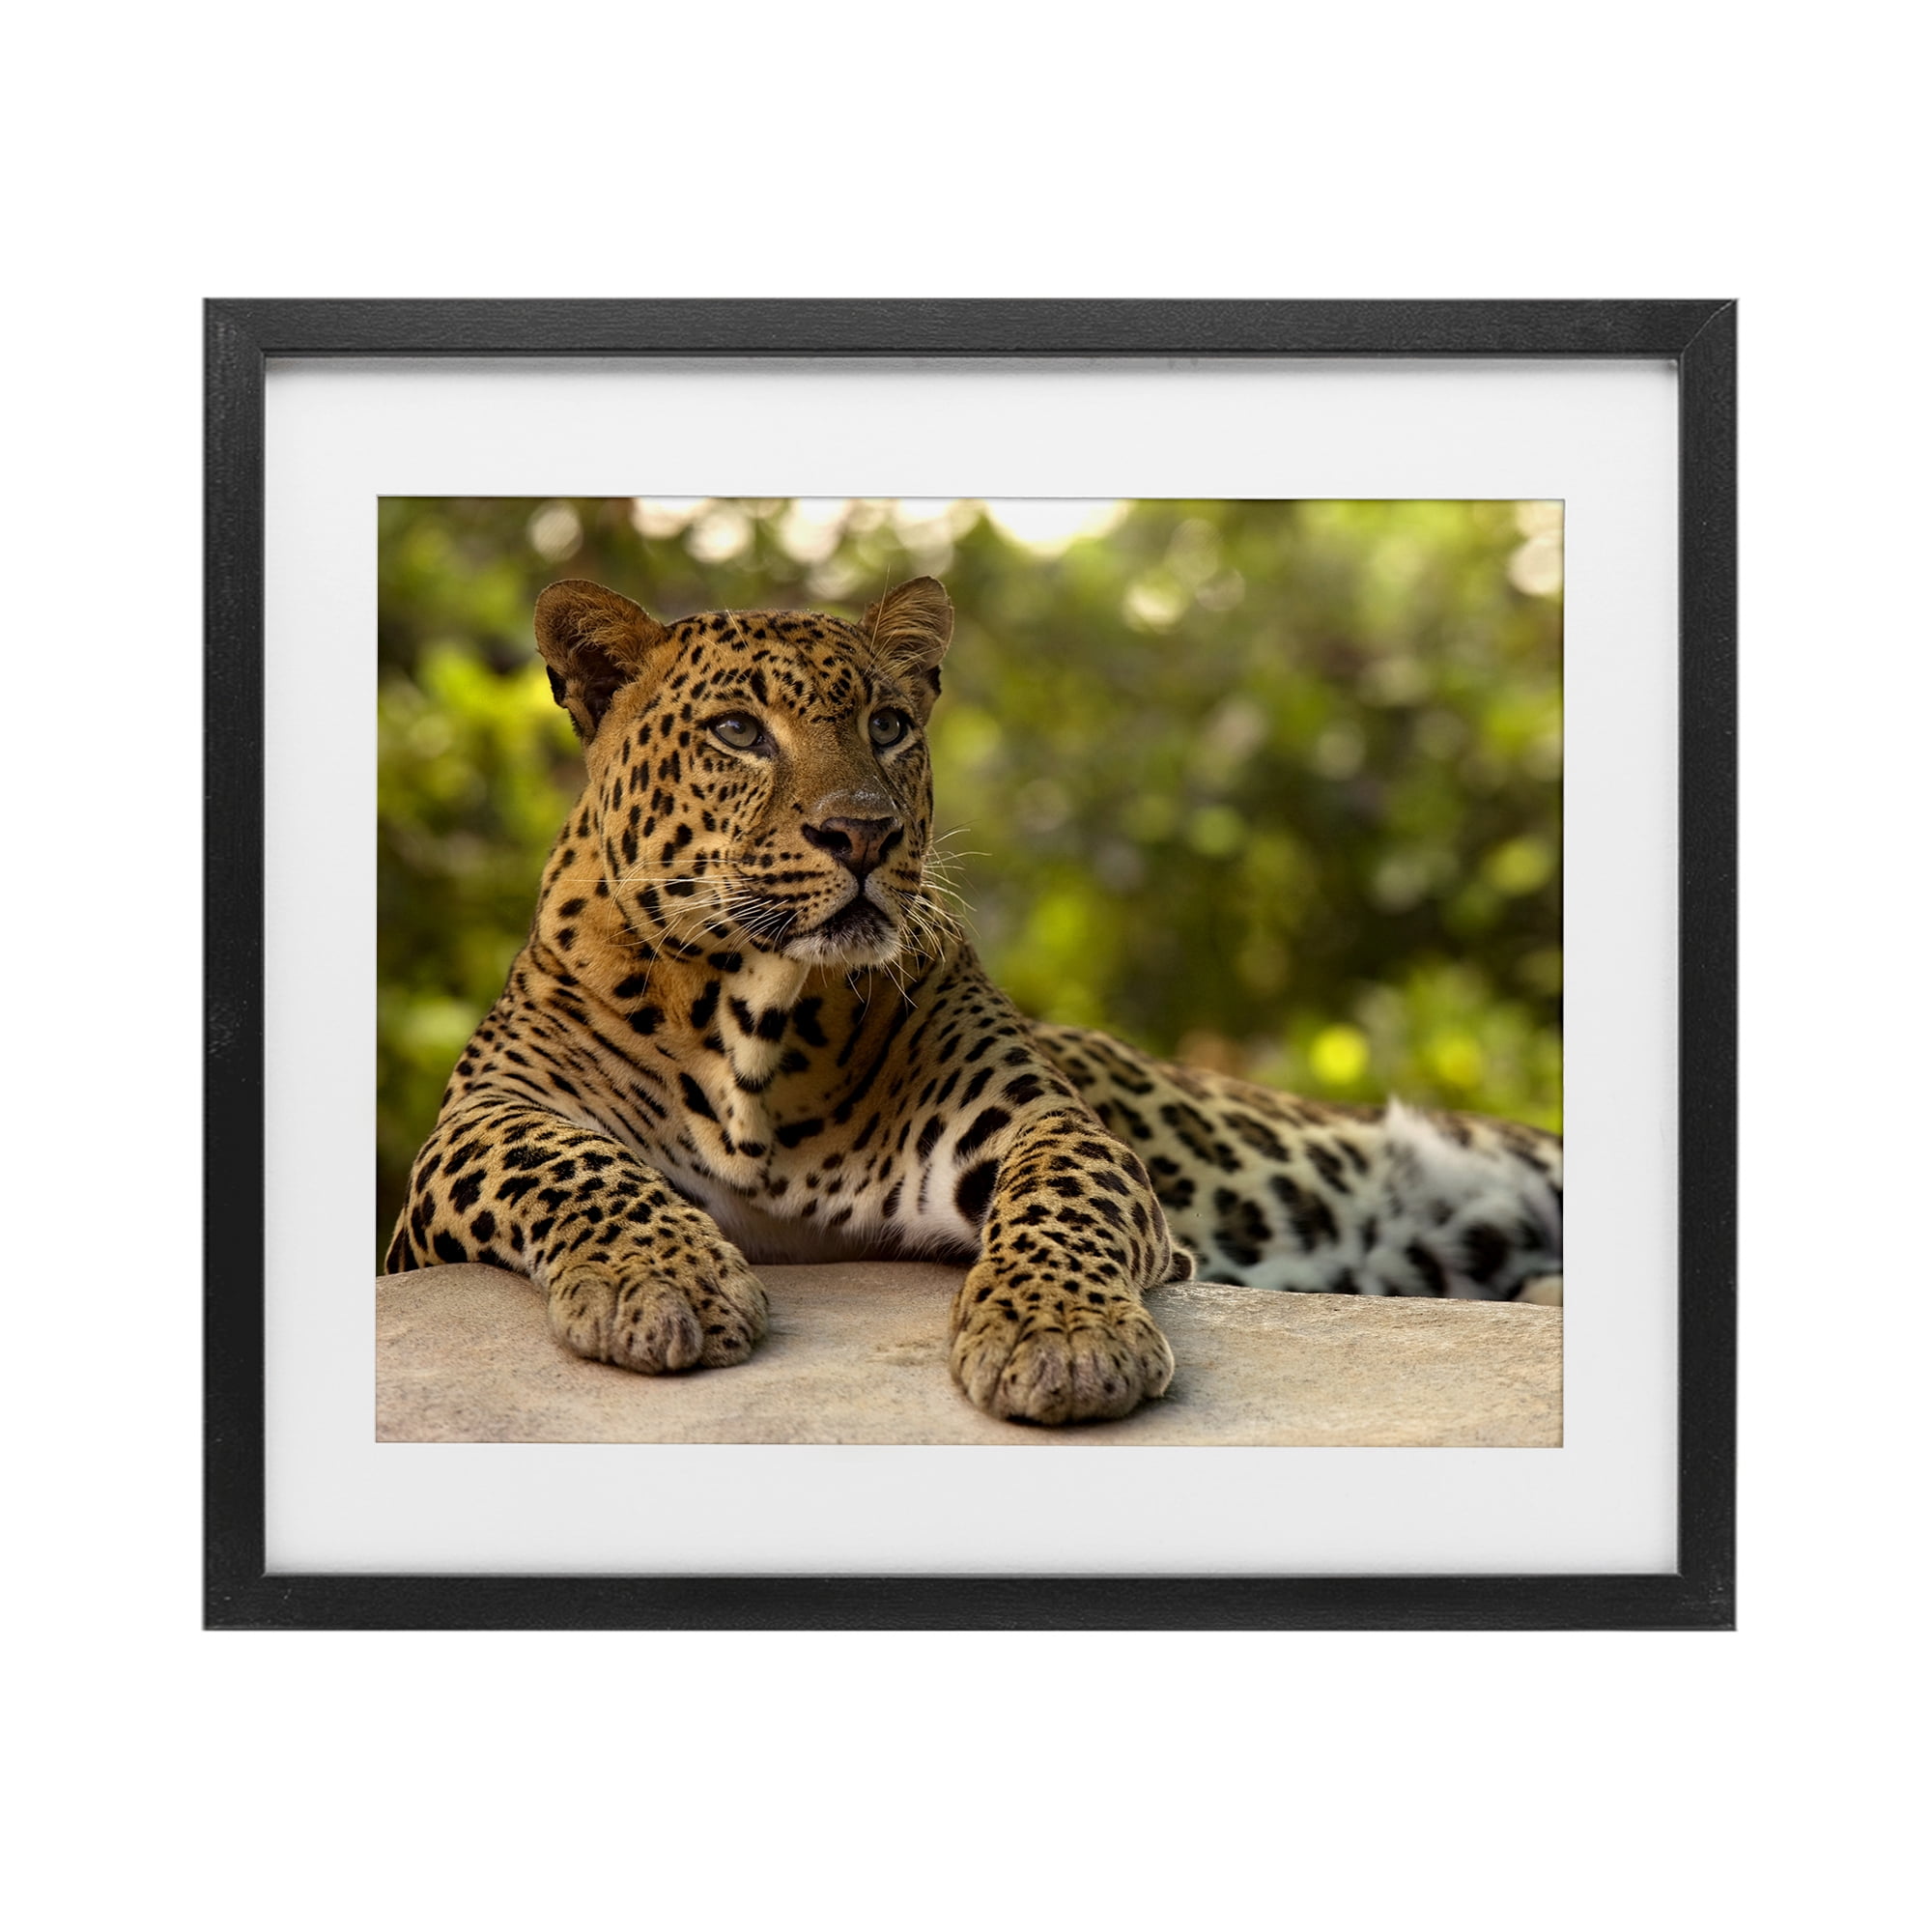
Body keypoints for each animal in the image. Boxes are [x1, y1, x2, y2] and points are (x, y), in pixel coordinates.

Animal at [386, 574, 1563, 1426]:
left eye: (889, 724)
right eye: (737, 731)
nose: (862, 833)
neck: (756, 1017)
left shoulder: (1032, 1120)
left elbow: (1060, 1194)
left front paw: (1060, 1338)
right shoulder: (468, 1134)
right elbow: (564, 1159)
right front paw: (660, 1281)